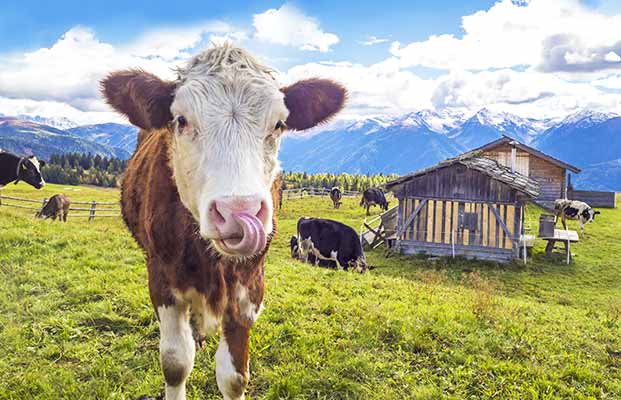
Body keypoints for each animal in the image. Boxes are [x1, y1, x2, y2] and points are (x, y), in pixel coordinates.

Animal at [100, 43, 346, 400]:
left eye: (279, 124)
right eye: (181, 120)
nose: (238, 213)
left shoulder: (250, 288)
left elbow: (234, 376)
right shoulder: (161, 279)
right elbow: (175, 363)